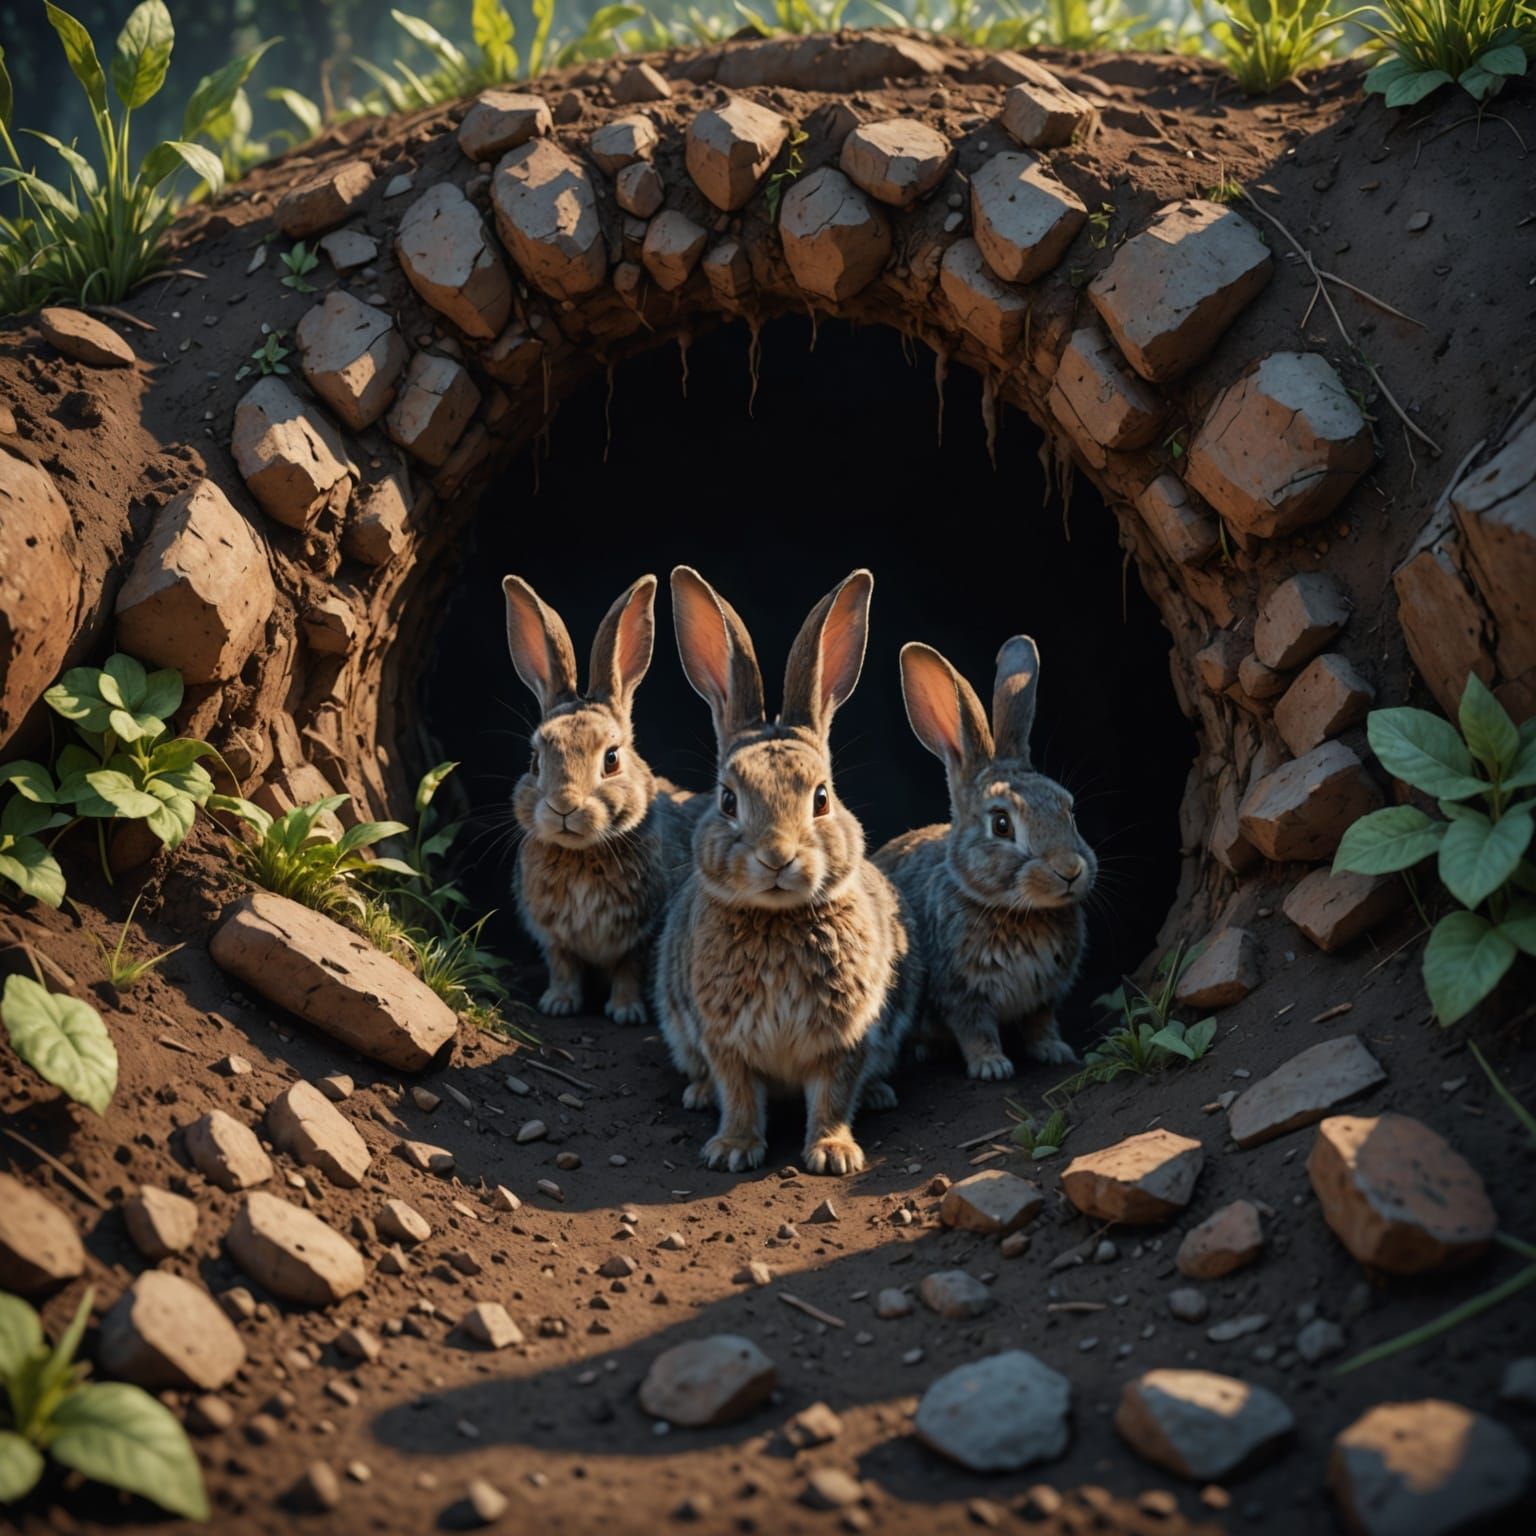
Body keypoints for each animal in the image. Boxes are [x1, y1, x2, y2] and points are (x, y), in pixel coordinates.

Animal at [504, 573, 699, 1025]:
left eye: (611, 759)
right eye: (535, 760)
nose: (563, 806)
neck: (581, 854)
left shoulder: (639, 935)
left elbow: (628, 970)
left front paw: (626, 1012)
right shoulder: (553, 936)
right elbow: (563, 967)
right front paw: (558, 1004)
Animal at [653, 566, 921, 1176]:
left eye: (821, 798)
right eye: (728, 800)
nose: (777, 857)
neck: (777, 919)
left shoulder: (847, 1037)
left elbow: (832, 1095)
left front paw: (833, 1153)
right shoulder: (724, 1039)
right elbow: (738, 1093)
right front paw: (732, 1149)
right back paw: (697, 1093)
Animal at [875, 635, 1096, 1081]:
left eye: (1068, 809)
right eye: (1002, 825)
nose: (1070, 870)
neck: (1018, 912)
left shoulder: (1044, 994)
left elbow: (1040, 1023)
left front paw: (1054, 1051)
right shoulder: (961, 995)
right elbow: (975, 1031)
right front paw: (992, 1067)